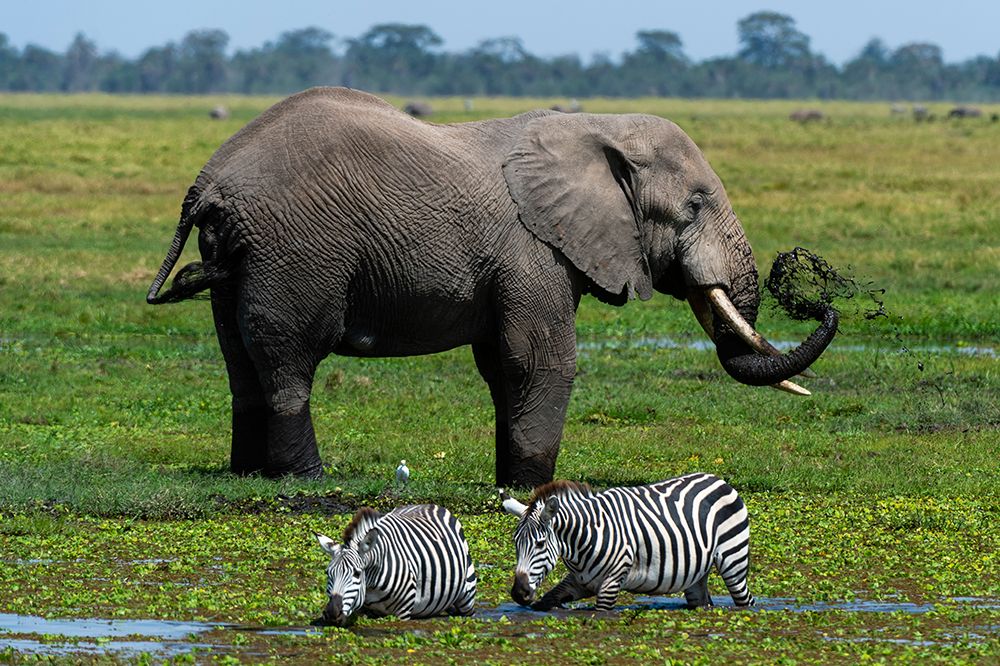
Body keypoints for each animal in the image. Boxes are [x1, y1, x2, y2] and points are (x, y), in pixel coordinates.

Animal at [147, 87, 838, 487]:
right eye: (694, 206)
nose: (822, 300)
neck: (596, 130)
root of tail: (209, 182)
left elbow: (502, 363)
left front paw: (512, 485)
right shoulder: (532, 248)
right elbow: (537, 358)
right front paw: (534, 489)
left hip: (242, 256)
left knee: (239, 359)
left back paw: (249, 475)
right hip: (296, 252)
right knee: (288, 356)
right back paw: (306, 483)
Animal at [315, 504, 477, 625]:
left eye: (357, 573)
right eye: (328, 573)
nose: (332, 613)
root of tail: (431, 505)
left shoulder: (403, 612)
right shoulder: (362, 610)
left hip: (467, 597)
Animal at [500, 473, 754, 611]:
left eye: (540, 544)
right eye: (515, 544)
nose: (519, 593)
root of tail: (718, 480)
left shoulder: (611, 583)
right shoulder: (580, 581)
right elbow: (547, 600)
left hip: (733, 562)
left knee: (746, 600)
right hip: (696, 573)